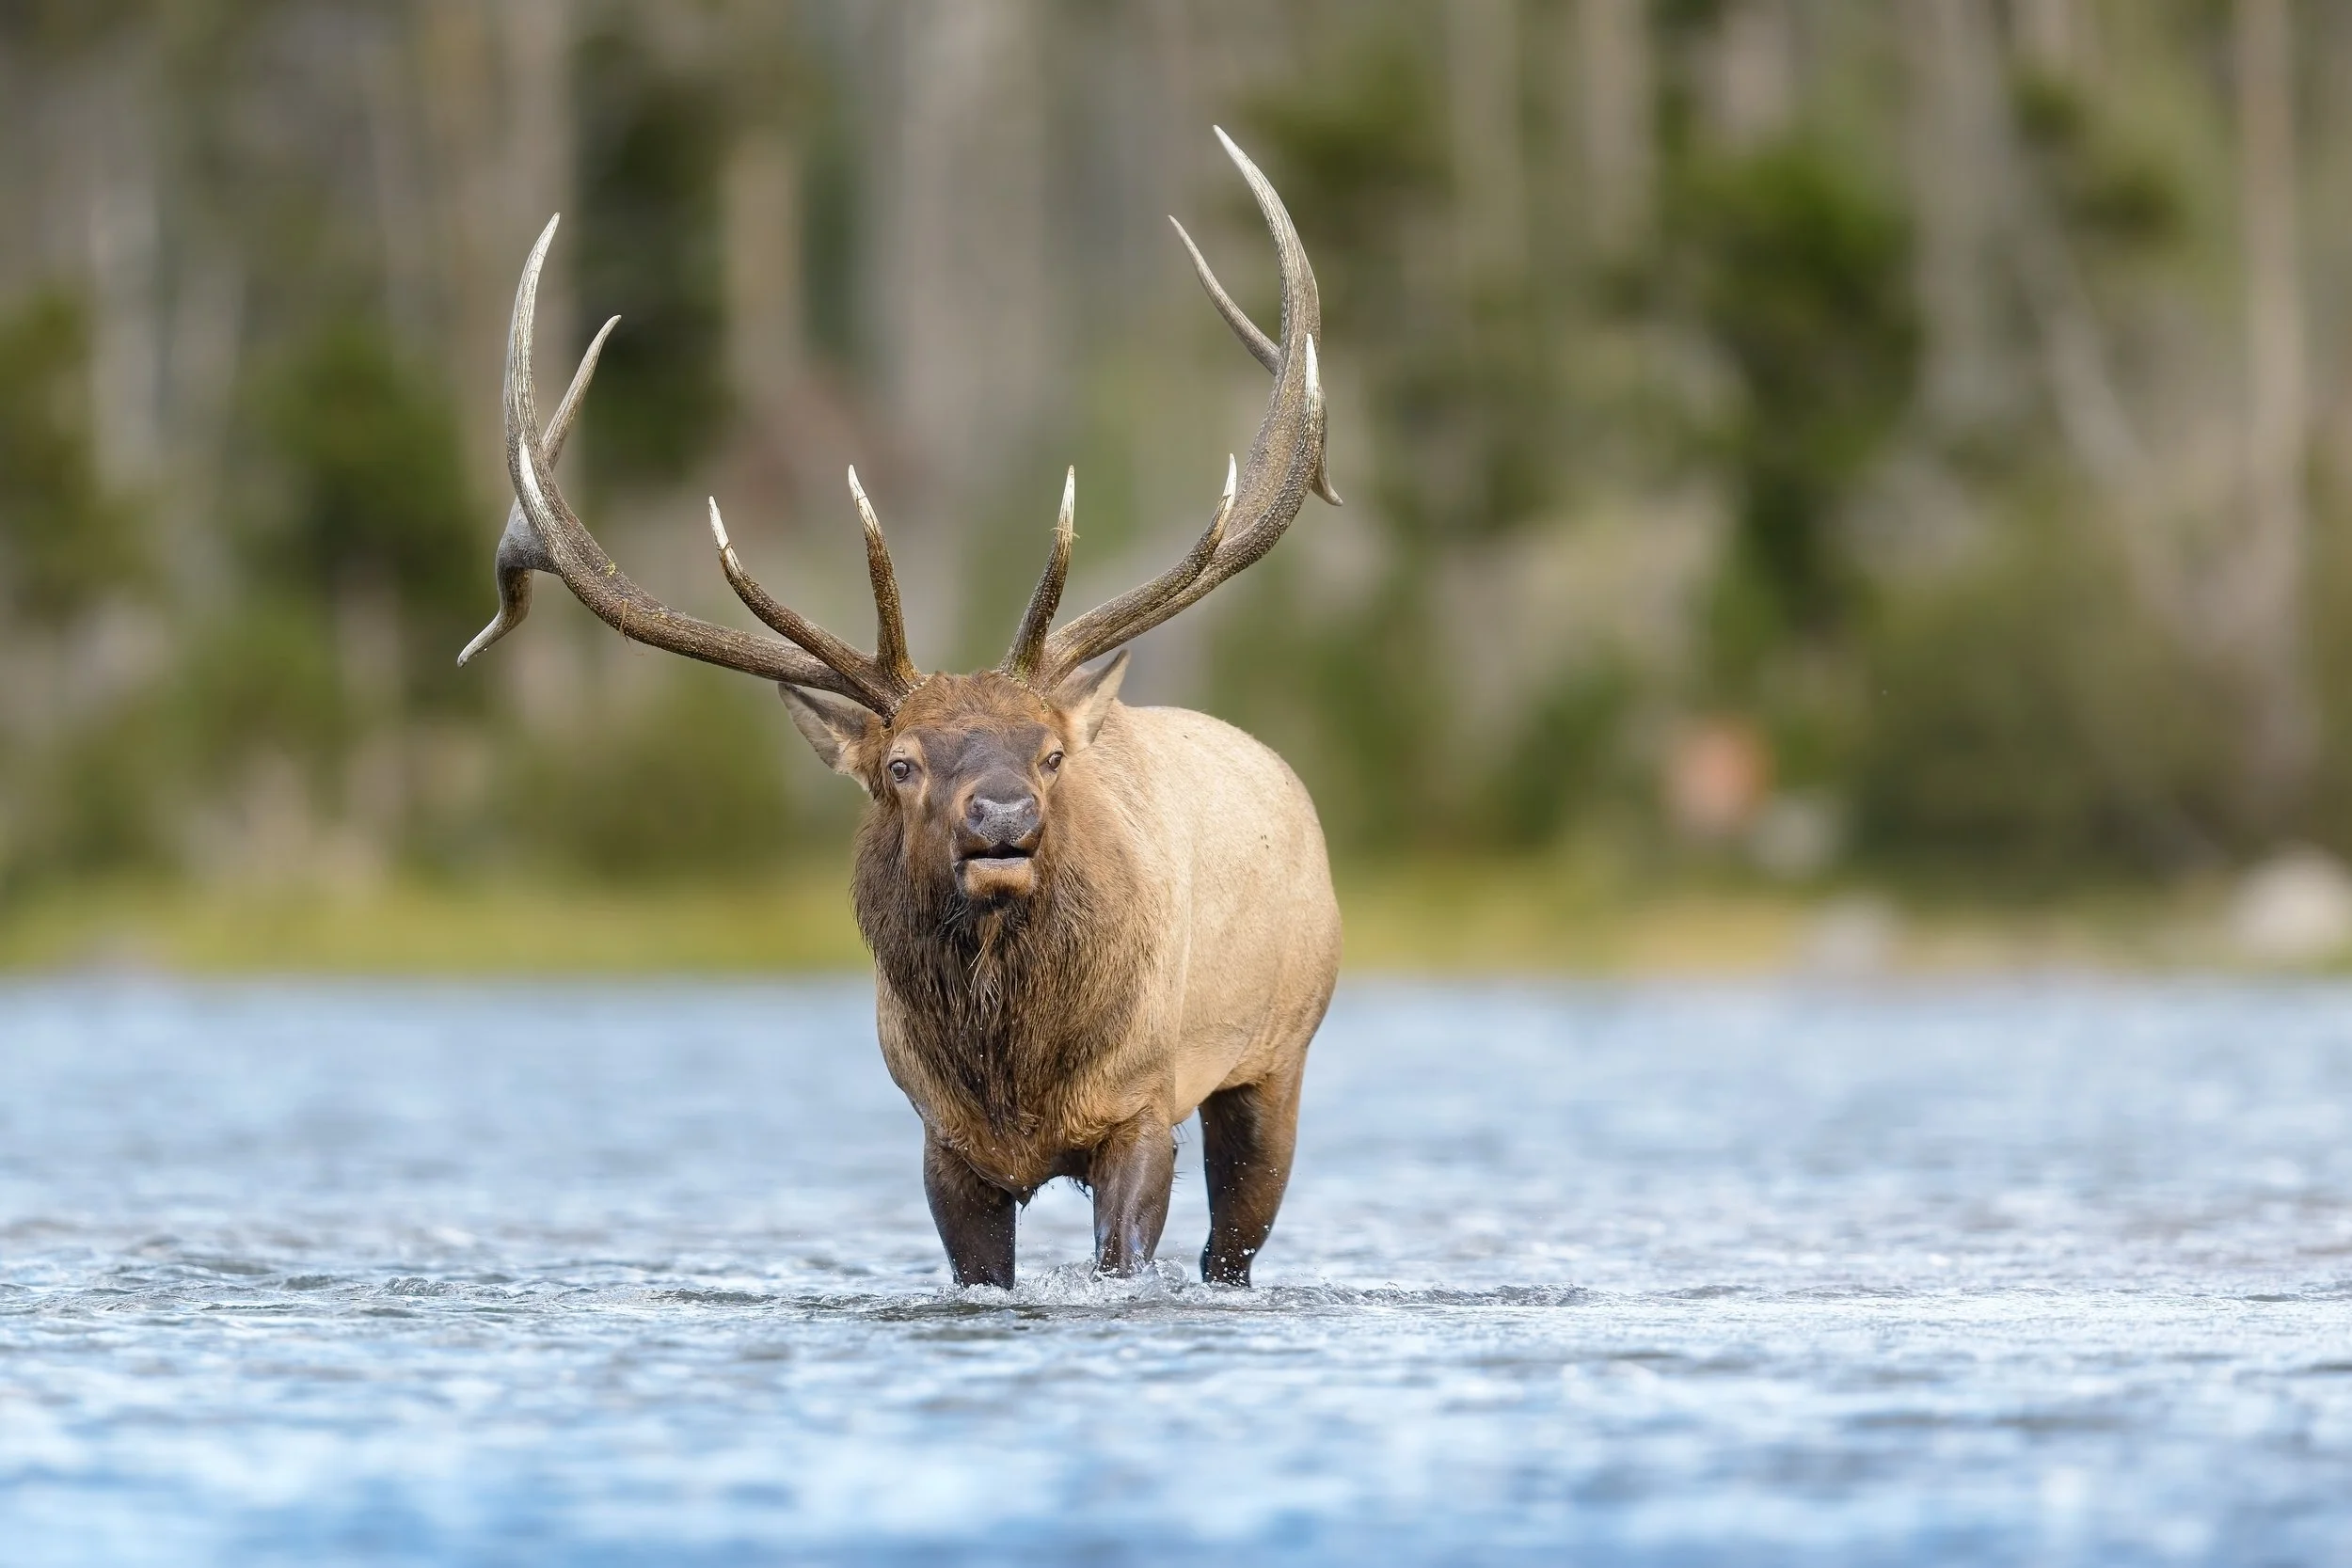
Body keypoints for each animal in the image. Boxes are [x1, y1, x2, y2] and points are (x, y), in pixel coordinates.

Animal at [459, 130, 1340, 1289]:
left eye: (1051, 753)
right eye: (901, 764)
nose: (1003, 818)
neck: (1017, 1072)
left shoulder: (1142, 1102)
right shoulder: (940, 1142)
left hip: (1277, 1058)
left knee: (1231, 1243)